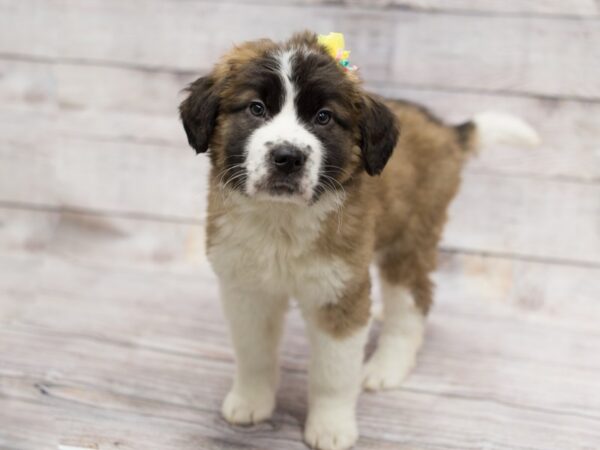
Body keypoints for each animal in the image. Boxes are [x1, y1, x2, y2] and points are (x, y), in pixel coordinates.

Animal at [178, 31, 540, 450]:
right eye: (256, 108)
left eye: (323, 117)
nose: (288, 157)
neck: (282, 219)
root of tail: (444, 129)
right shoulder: (247, 289)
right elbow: (254, 353)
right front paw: (251, 402)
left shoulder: (341, 292)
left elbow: (333, 374)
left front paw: (331, 426)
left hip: (410, 239)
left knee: (414, 300)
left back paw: (387, 365)